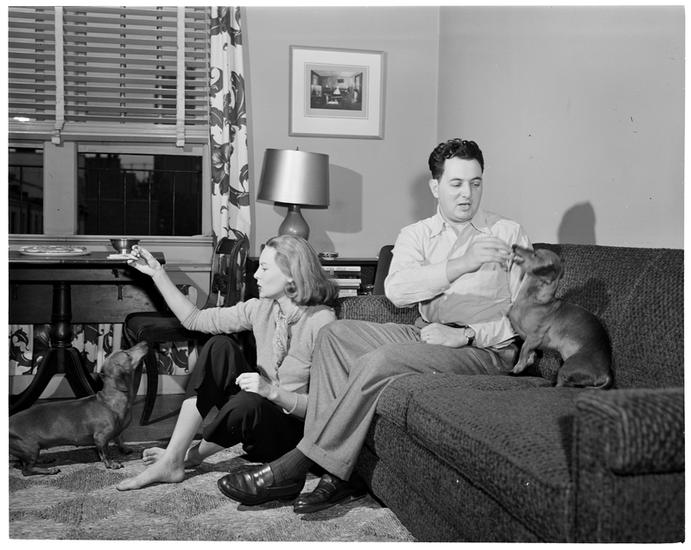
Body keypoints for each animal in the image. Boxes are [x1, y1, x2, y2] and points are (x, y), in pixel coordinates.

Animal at [9, 341, 148, 475]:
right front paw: (111, 464)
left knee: (24, 463)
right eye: (127, 354)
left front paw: (124, 448)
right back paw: (49, 470)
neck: (110, 400)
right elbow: (105, 453)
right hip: (31, 448)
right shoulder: (101, 437)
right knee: (26, 470)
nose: (145, 343)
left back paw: (43, 460)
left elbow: (119, 438)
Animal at [508, 246, 613, 388]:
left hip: (566, 367)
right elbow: (529, 352)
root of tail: (606, 373)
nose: (514, 246)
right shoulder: (530, 341)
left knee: (561, 385)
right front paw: (528, 361)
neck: (532, 302)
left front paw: (518, 367)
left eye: (535, 254)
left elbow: (524, 349)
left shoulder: (535, 337)